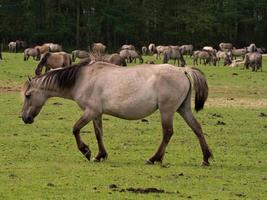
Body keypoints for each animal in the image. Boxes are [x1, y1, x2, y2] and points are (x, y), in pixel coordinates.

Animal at [21, 61, 214, 165]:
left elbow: (75, 129)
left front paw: (86, 151)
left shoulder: (90, 111)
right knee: (197, 129)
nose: (24, 118)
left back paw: (154, 158)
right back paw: (205, 158)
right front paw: (100, 155)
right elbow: (98, 133)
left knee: (168, 133)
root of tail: (183, 70)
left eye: (28, 95)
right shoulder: (96, 114)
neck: (83, 79)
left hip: (167, 111)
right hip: (183, 109)